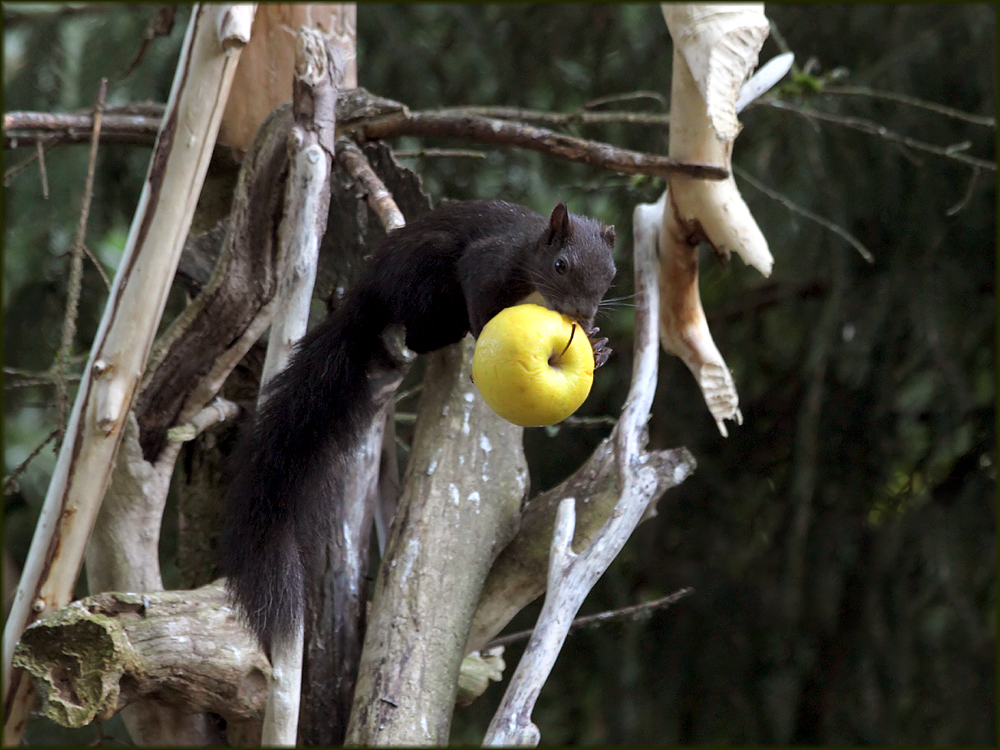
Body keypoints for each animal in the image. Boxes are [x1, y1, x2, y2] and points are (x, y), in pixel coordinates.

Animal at [221, 200, 616, 652]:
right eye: (560, 265)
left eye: (611, 273)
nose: (582, 313)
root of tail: (367, 293)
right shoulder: (490, 261)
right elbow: (480, 296)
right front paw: (486, 333)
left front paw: (598, 345)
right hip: (425, 282)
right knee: (417, 329)